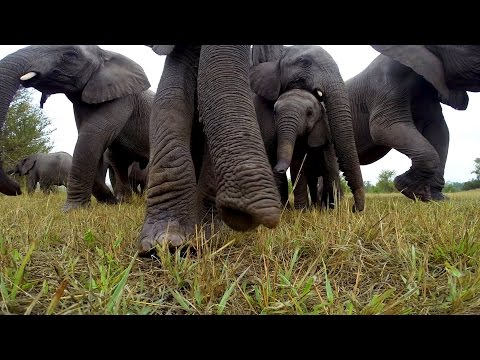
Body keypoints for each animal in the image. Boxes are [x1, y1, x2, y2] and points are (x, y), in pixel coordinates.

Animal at [0, 46, 154, 211]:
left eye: (70, 55)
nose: (17, 189)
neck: (104, 54)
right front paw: (109, 203)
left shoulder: (122, 99)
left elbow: (91, 137)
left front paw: (72, 211)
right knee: (118, 161)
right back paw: (124, 201)